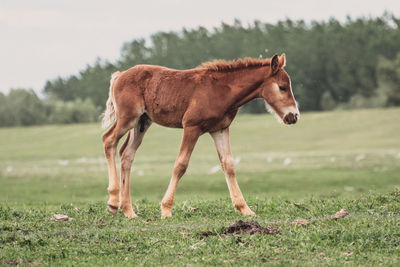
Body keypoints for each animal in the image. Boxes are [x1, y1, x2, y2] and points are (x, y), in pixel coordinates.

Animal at [101, 53, 298, 219]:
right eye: (282, 87)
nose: (294, 116)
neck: (222, 90)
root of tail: (119, 75)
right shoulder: (191, 127)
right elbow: (180, 165)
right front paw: (166, 208)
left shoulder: (220, 129)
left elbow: (228, 165)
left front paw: (244, 209)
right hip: (128, 118)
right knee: (108, 140)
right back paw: (113, 201)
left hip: (142, 122)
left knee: (127, 154)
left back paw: (128, 210)